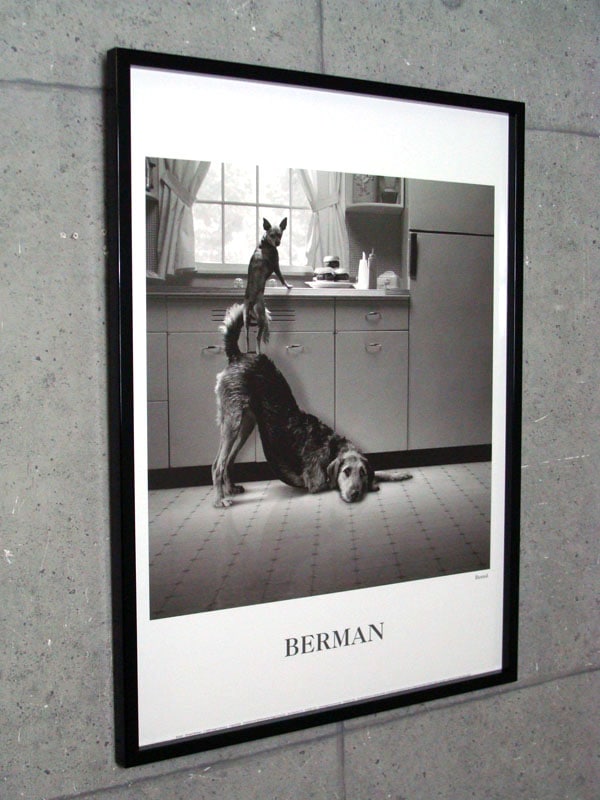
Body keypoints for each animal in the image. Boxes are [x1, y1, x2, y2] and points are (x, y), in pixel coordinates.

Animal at [212, 304, 411, 507]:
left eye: (362, 473)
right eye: (346, 471)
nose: (355, 494)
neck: (332, 447)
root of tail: (237, 355)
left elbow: (378, 471)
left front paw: (397, 474)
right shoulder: (317, 483)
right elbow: (352, 479)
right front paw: (376, 483)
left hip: (246, 425)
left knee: (227, 461)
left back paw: (231, 489)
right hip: (233, 421)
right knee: (217, 465)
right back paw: (220, 499)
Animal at [243, 217, 292, 354]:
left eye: (280, 234)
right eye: (272, 235)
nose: (278, 243)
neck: (264, 243)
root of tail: (250, 303)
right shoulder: (276, 265)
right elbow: (282, 278)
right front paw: (288, 286)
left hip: (246, 321)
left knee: (247, 337)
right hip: (262, 318)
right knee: (258, 337)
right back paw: (259, 352)